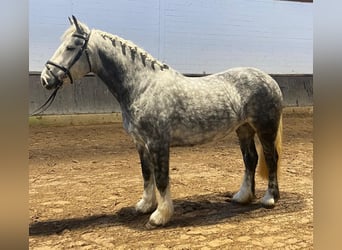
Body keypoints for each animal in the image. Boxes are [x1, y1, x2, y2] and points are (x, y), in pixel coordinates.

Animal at [40, 16, 284, 229]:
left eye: (71, 47)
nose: (45, 78)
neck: (143, 86)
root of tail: (269, 79)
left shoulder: (158, 143)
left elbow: (161, 178)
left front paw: (160, 216)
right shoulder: (141, 143)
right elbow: (146, 174)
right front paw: (145, 206)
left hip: (265, 129)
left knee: (271, 159)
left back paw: (269, 198)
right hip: (244, 130)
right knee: (250, 160)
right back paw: (242, 197)